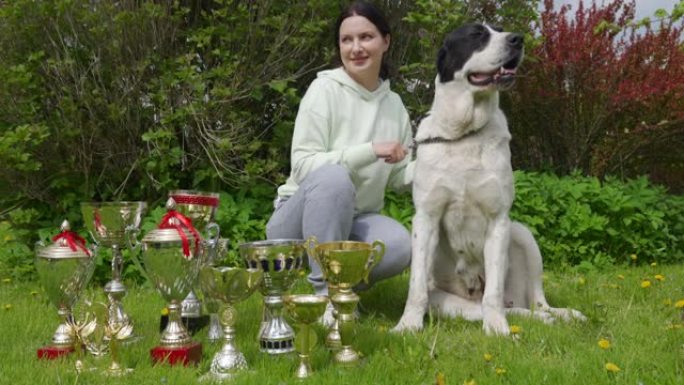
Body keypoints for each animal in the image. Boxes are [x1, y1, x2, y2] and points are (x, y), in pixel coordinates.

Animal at [392, 23, 584, 332]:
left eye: (500, 30)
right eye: (477, 35)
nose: (517, 39)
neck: (463, 133)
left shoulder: (499, 220)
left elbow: (492, 291)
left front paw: (497, 330)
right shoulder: (426, 218)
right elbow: (416, 286)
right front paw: (407, 326)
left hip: (523, 235)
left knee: (533, 302)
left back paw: (561, 315)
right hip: (448, 303)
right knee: (504, 309)